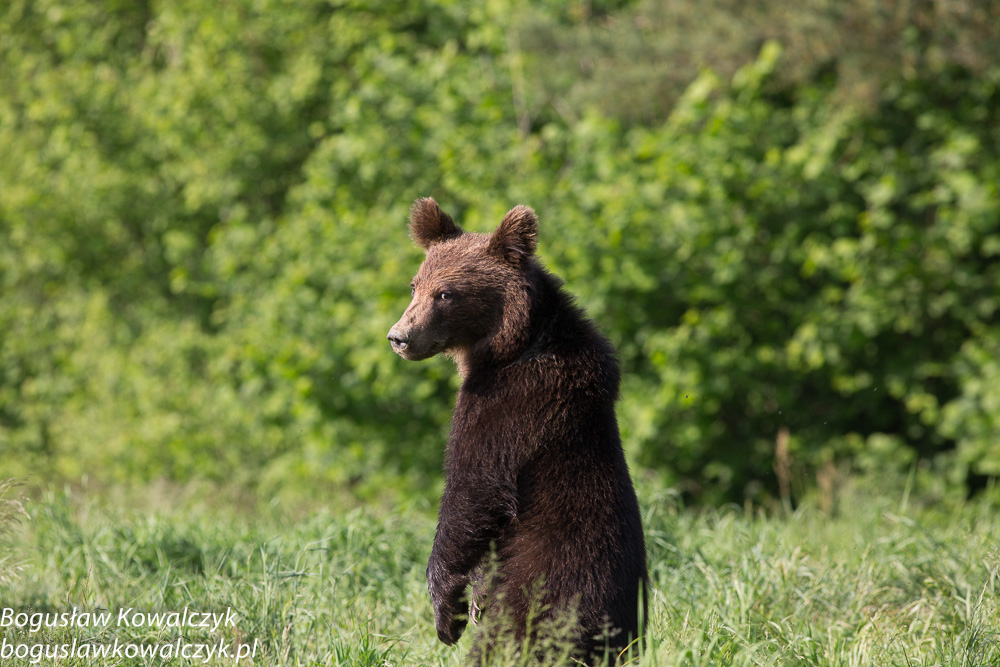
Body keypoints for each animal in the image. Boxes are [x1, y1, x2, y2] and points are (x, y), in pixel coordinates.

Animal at [386, 197, 644, 664]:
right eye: (414, 285)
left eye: (446, 293)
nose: (399, 337)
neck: (510, 346)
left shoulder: (507, 407)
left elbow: (474, 493)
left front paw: (445, 611)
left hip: (546, 584)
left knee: (511, 637)